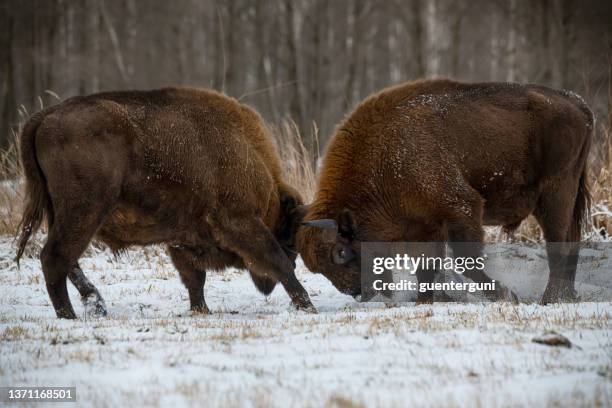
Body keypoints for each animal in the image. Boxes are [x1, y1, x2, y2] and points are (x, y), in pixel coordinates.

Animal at [17, 88, 316, 318]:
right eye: (288, 237)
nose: (267, 286)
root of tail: (44, 117)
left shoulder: (183, 239)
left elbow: (195, 278)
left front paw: (201, 310)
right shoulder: (240, 221)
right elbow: (275, 260)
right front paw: (308, 306)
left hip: (63, 214)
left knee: (68, 260)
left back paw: (95, 305)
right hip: (84, 212)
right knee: (55, 257)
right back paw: (71, 315)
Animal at [296, 79, 592, 302]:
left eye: (340, 253)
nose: (356, 292)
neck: (382, 156)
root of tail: (576, 102)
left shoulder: (461, 208)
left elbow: (464, 260)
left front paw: (505, 294)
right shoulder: (425, 226)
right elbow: (426, 266)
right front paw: (425, 299)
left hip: (555, 195)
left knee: (560, 242)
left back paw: (551, 298)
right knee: (572, 239)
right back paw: (565, 296)